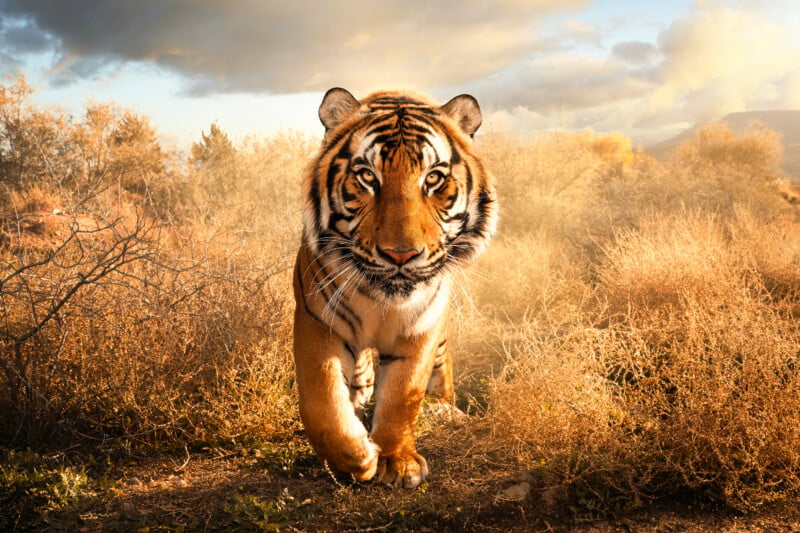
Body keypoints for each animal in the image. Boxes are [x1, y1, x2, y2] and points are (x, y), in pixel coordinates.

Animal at [293, 87, 498, 488]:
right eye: (366, 177)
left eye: (433, 178)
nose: (400, 254)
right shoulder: (317, 322)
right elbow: (322, 402)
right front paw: (357, 458)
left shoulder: (420, 330)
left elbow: (402, 395)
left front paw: (396, 460)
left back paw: (444, 409)